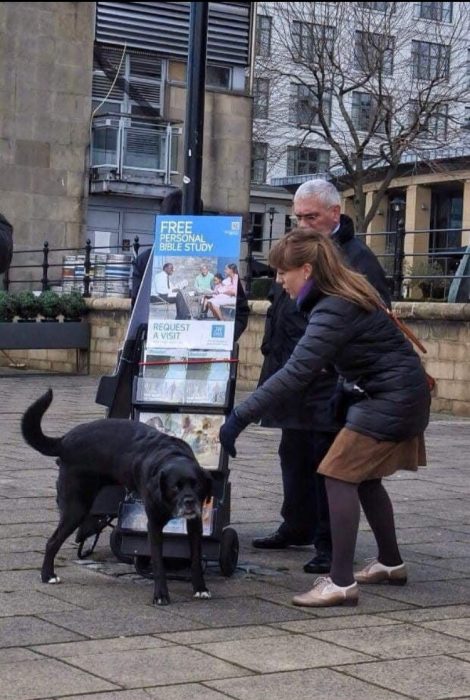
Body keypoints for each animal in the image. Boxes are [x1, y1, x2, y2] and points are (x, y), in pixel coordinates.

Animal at [21, 392, 212, 604]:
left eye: (197, 485)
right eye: (174, 487)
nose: (189, 502)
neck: (171, 455)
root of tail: (64, 441)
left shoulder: (195, 524)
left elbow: (196, 558)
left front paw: (200, 588)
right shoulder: (154, 524)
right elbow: (158, 563)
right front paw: (161, 595)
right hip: (76, 507)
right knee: (52, 541)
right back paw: (48, 575)